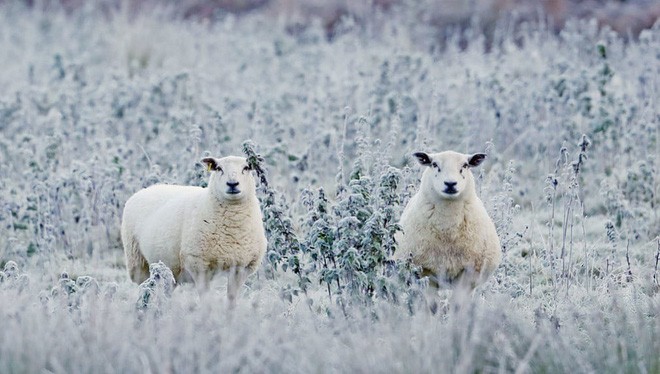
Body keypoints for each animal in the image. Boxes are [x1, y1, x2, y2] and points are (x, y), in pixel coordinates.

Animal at [121, 156, 266, 302]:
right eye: (218, 168)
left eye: (246, 168)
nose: (232, 184)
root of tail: (147, 189)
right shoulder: (198, 264)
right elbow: (206, 300)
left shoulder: (241, 268)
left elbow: (232, 300)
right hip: (138, 263)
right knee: (144, 287)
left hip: (169, 270)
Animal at [394, 150, 502, 296]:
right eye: (434, 164)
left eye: (465, 165)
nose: (450, 183)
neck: (448, 228)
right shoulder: (427, 272)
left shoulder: (467, 273)